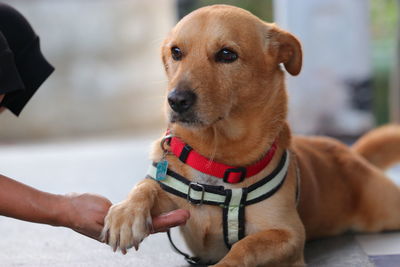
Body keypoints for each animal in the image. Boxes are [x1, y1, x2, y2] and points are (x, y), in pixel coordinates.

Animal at [101, 4, 400, 267]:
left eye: (227, 54)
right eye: (176, 52)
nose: (176, 100)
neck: (218, 156)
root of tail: (350, 153)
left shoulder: (289, 233)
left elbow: (246, 246)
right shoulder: (176, 205)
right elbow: (147, 186)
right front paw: (125, 214)